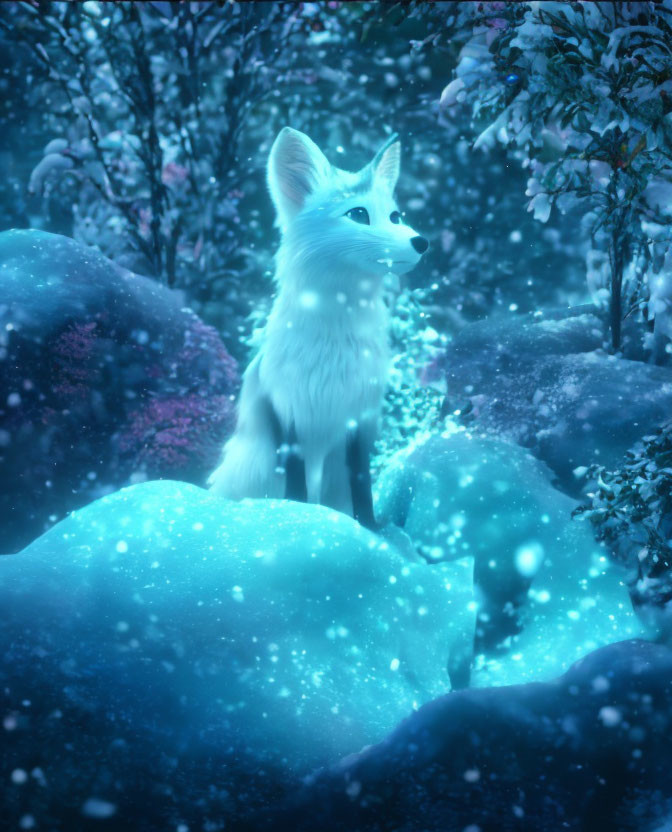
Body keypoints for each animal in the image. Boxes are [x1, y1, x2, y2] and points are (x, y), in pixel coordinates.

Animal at [207, 127, 428, 528]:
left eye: (395, 216)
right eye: (358, 214)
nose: (421, 242)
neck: (335, 341)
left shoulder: (358, 414)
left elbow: (362, 481)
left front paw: (369, 529)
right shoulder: (287, 408)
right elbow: (295, 480)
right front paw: (298, 517)